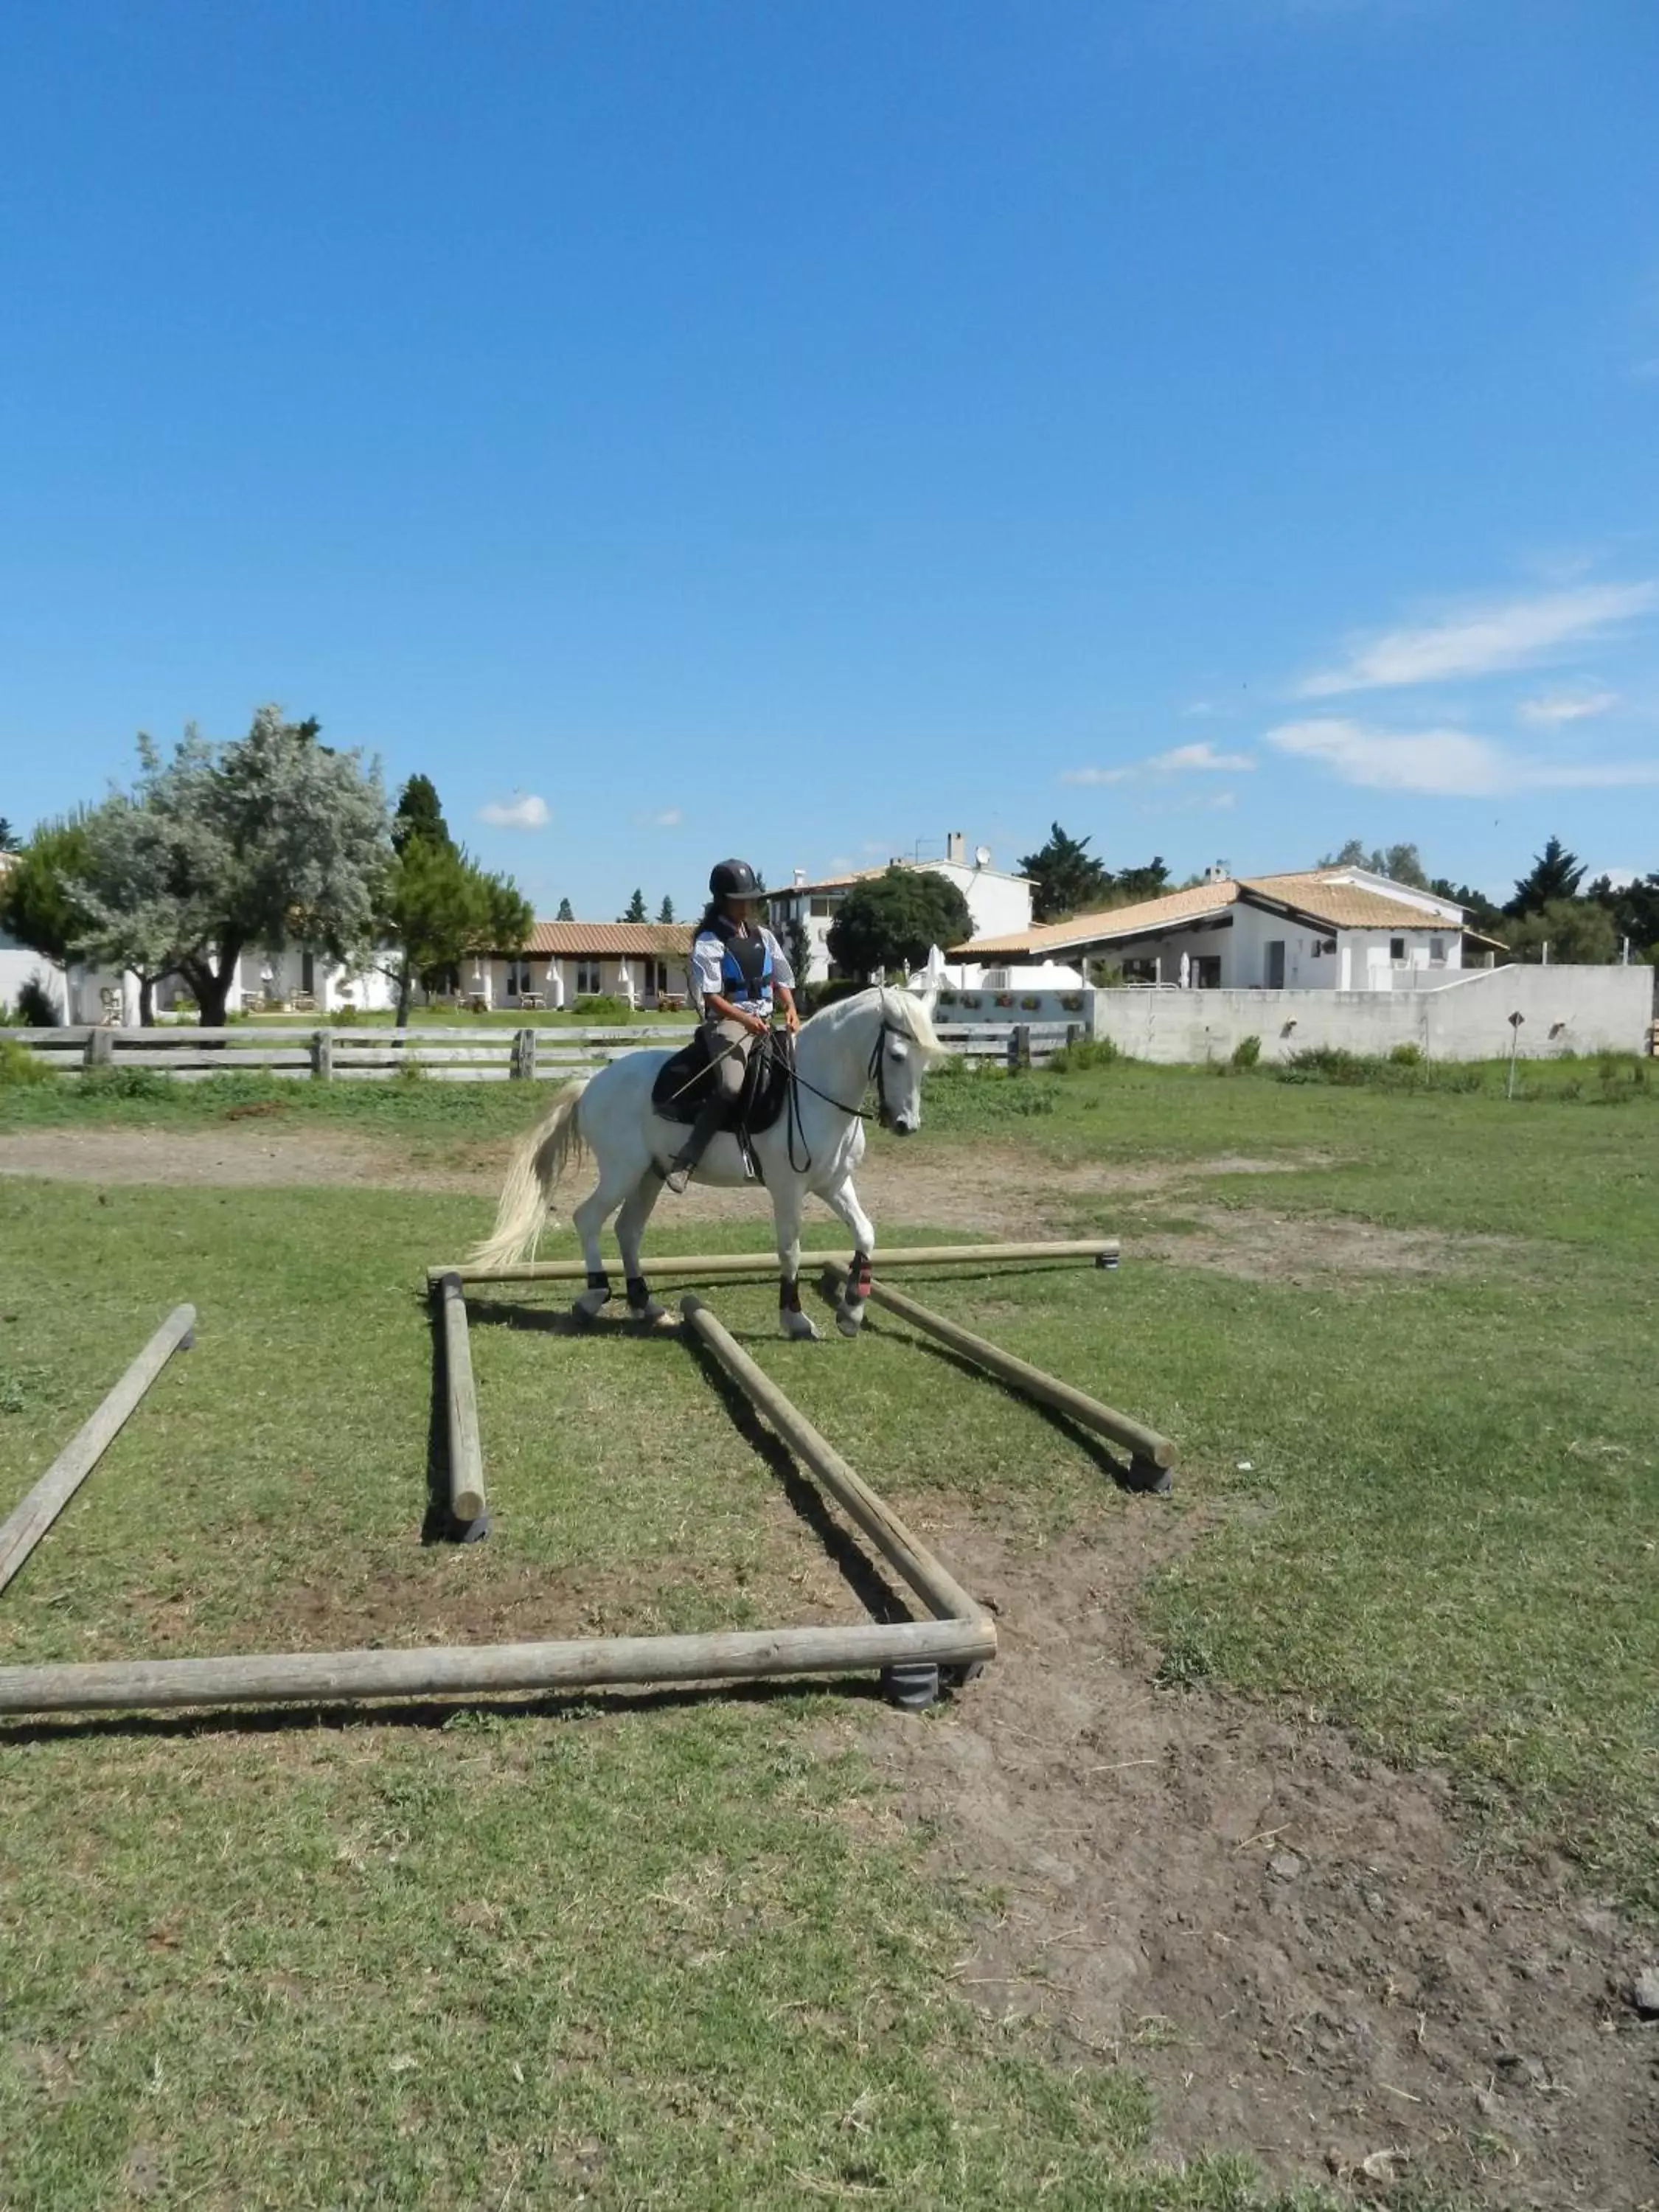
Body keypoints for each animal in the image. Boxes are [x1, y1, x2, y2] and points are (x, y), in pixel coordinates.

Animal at [473, 991, 942, 1336]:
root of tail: (591, 1084)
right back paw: (592, 1297)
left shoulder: (834, 1183)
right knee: (588, 1219)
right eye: (897, 1055)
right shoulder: (788, 1189)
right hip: (622, 1172)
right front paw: (794, 1319)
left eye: (925, 1059)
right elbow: (790, 1250)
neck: (811, 1089)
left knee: (628, 1230)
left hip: (649, 1175)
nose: (906, 1124)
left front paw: (851, 1311)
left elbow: (866, 1233)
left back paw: (645, 1304)